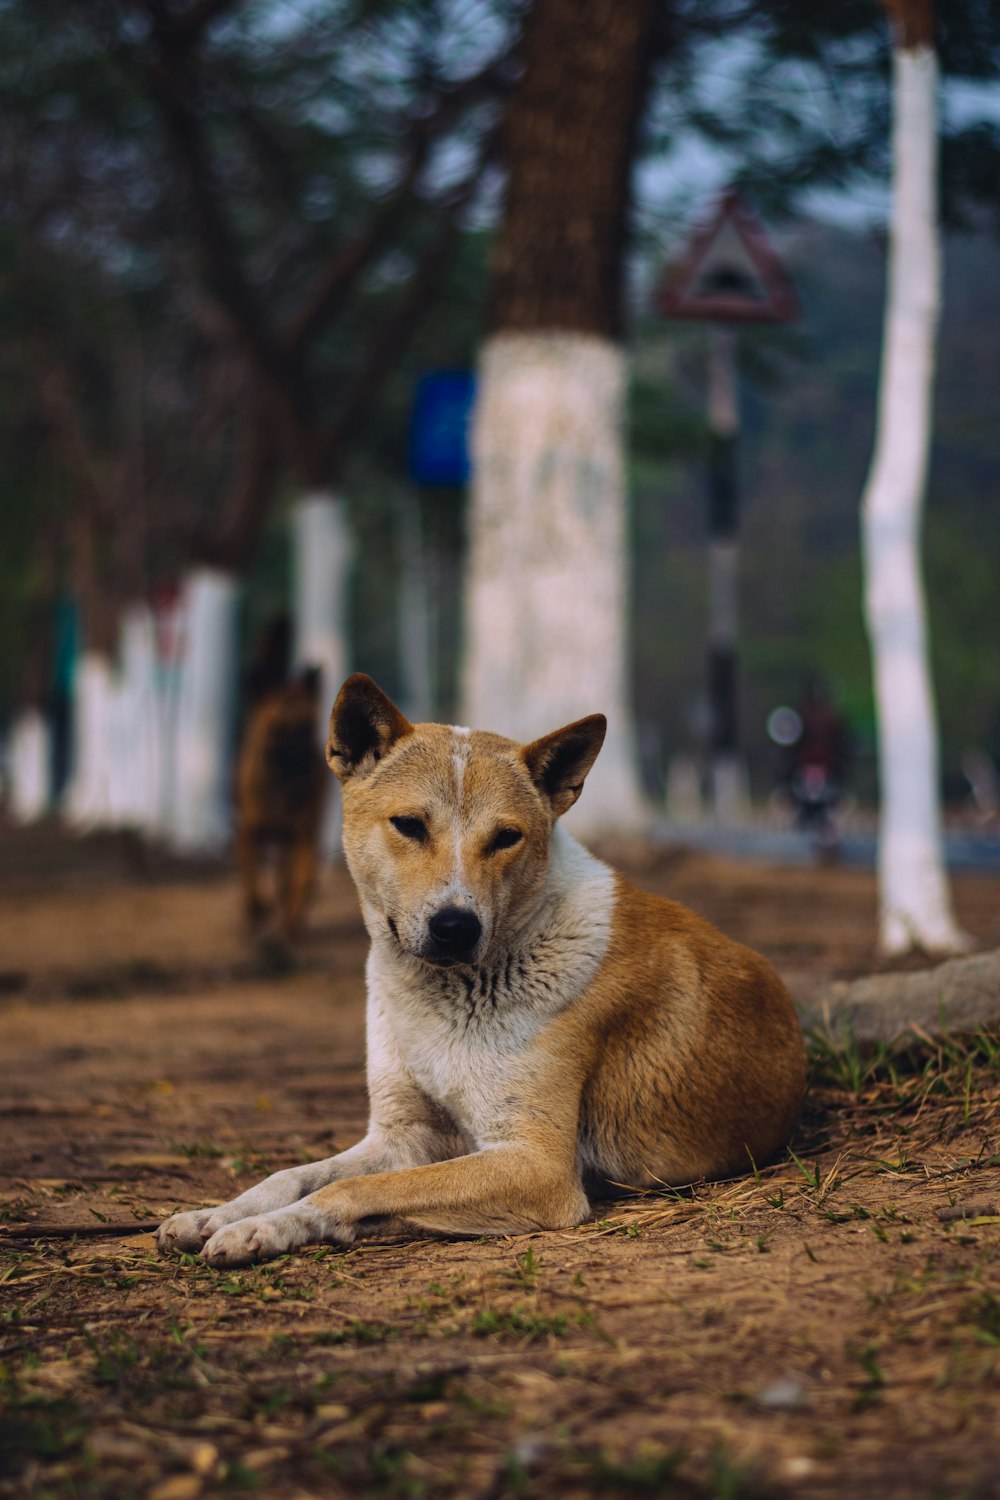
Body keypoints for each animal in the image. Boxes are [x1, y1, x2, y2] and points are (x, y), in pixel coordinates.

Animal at [158, 678, 815, 1266]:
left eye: (506, 838)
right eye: (409, 825)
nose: (456, 926)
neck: (444, 995)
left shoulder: (536, 1164)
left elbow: (350, 1188)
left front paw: (267, 1229)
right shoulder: (401, 1136)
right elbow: (292, 1174)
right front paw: (218, 1214)